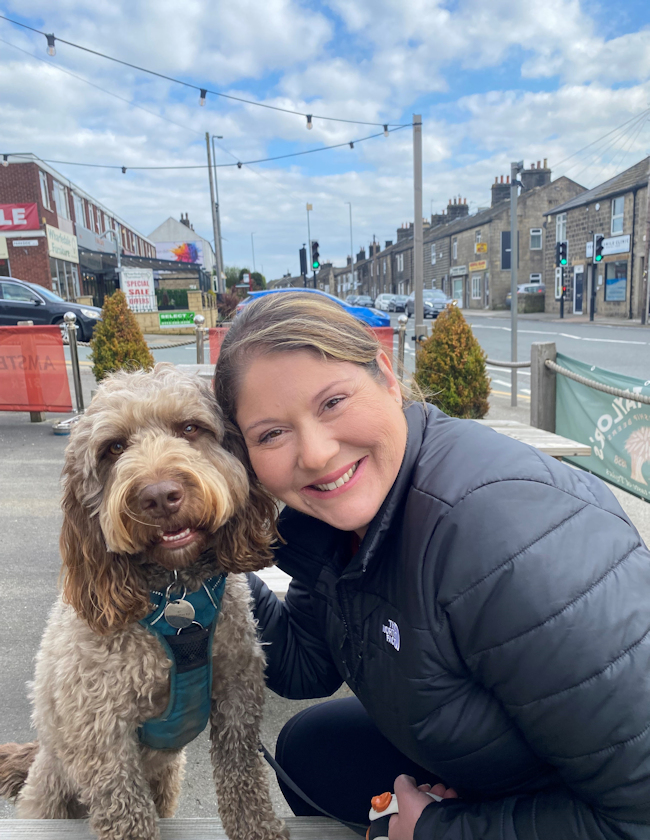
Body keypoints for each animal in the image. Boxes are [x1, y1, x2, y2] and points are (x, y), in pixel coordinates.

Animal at [0, 366, 286, 840]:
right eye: (114, 448)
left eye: (189, 428)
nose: (158, 495)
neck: (175, 592)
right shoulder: (101, 730)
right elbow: (124, 808)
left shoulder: (237, 690)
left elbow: (242, 771)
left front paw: (257, 826)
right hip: (51, 794)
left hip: (167, 780)